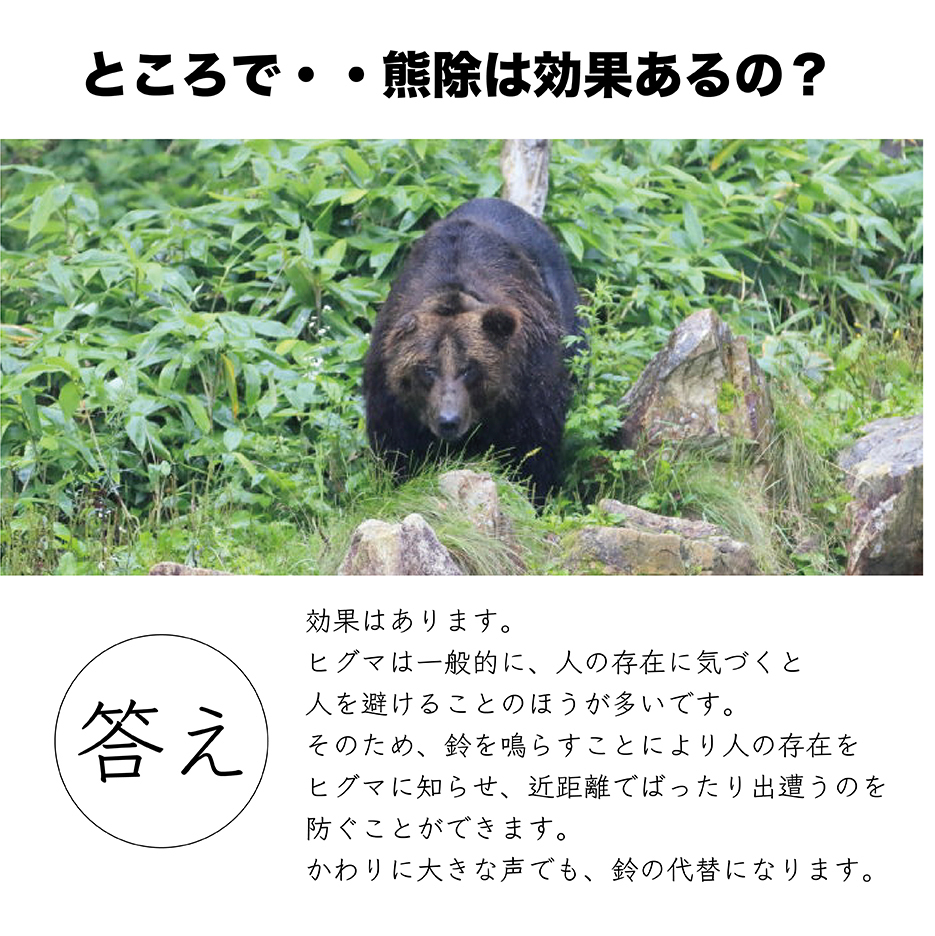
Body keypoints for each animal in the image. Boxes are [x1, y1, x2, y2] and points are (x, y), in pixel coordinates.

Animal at [363, 197, 581, 502]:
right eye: (428, 369)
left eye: (469, 368)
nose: (448, 420)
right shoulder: (392, 397)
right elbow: (397, 452)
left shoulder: (528, 386)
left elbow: (533, 450)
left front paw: (535, 493)